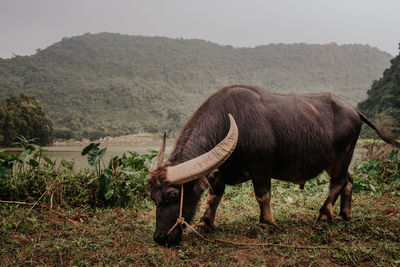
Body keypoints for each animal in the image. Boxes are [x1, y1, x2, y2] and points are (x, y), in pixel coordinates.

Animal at [148, 85, 400, 246]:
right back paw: (345, 214)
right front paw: (205, 222)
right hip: (335, 161)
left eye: (172, 195)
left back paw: (323, 215)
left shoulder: (261, 167)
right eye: (153, 198)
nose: (160, 238)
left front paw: (266, 221)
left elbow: (263, 195)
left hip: (342, 157)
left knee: (337, 183)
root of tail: (354, 110)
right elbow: (213, 197)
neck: (233, 122)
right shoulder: (220, 171)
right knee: (349, 180)